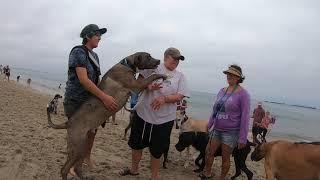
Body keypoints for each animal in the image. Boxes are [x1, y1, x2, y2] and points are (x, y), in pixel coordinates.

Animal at [47, 51, 168, 179]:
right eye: (148, 57)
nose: (159, 61)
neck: (126, 64)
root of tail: (68, 123)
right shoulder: (137, 85)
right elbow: (151, 76)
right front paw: (162, 75)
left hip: (81, 145)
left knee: (76, 167)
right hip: (77, 146)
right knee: (64, 169)